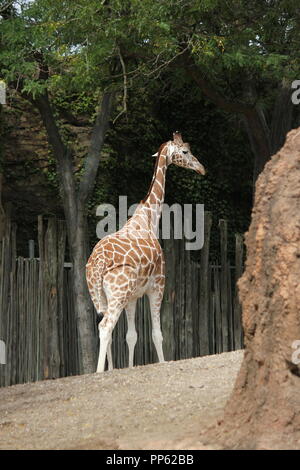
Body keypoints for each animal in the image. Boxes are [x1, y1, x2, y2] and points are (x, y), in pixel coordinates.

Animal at [85, 131, 205, 370]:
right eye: (185, 151)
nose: (201, 168)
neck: (149, 218)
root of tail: (98, 265)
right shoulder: (158, 284)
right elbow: (157, 334)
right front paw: (163, 362)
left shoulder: (133, 296)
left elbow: (131, 336)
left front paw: (129, 367)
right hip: (118, 293)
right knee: (106, 326)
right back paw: (99, 372)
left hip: (99, 295)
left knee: (105, 327)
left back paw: (109, 369)